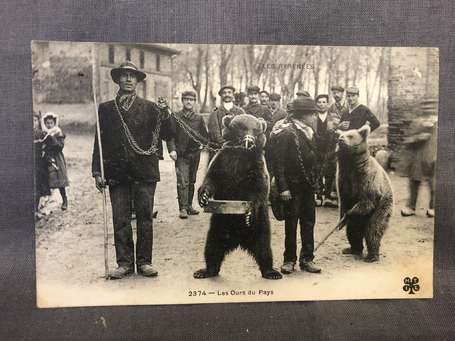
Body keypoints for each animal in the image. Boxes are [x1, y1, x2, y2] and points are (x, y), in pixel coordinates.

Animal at [195, 114, 282, 278]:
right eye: (241, 127)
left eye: (255, 130)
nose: (249, 141)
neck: (242, 152)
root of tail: (239, 240)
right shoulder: (223, 158)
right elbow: (212, 177)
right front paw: (203, 197)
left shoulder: (256, 163)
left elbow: (259, 186)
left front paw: (248, 212)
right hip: (219, 224)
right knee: (212, 246)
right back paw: (205, 271)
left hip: (260, 224)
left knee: (264, 247)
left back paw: (272, 272)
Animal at [336, 125, 394, 260]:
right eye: (340, 135)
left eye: (350, 135)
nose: (340, 140)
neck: (351, 163)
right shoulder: (343, 178)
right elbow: (344, 199)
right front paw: (341, 220)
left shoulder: (366, 178)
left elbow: (367, 200)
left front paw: (348, 214)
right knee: (353, 231)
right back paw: (352, 249)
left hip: (383, 206)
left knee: (373, 229)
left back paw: (372, 256)